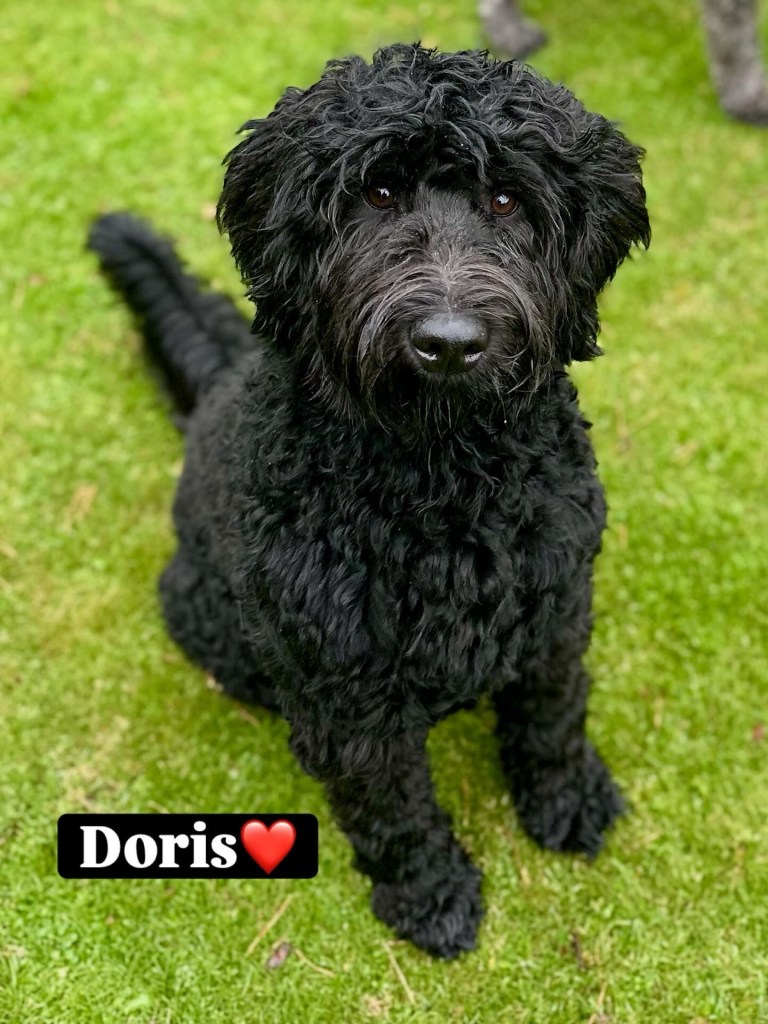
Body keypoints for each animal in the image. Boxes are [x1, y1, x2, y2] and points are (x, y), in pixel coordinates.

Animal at [89, 43, 650, 959]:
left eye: (506, 199)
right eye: (377, 193)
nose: (449, 344)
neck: (441, 483)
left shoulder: (559, 609)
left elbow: (554, 718)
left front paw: (568, 802)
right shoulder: (344, 692)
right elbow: (392, 806)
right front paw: (429, 896)